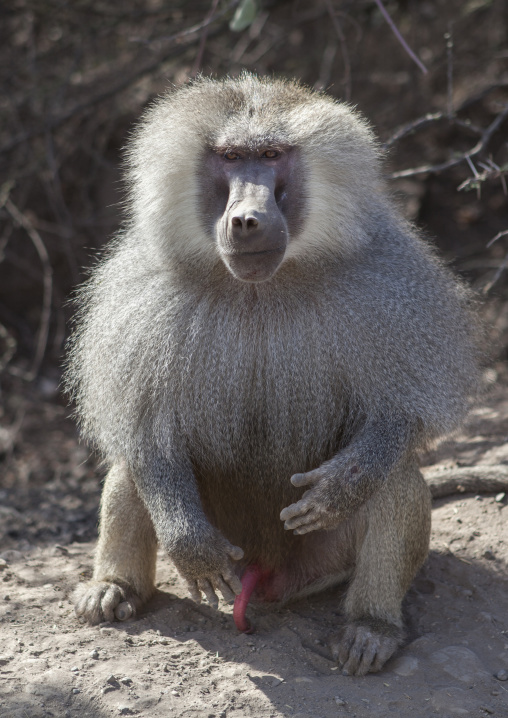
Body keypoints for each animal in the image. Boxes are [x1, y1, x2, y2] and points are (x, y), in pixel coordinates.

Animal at [65, 74, 482, 676]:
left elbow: (400, 415)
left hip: (323, 558)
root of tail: (264, 574)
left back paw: (371, 628)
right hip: (232, 543)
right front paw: (188, 546)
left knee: (397, 479)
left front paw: (339, 487)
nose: (246, 220)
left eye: (271, 156)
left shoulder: (390, 280)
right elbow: (145, 428)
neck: (262, 288)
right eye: (229, 157)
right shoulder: (141, 297)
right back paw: (115, 589)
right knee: (132, 470)